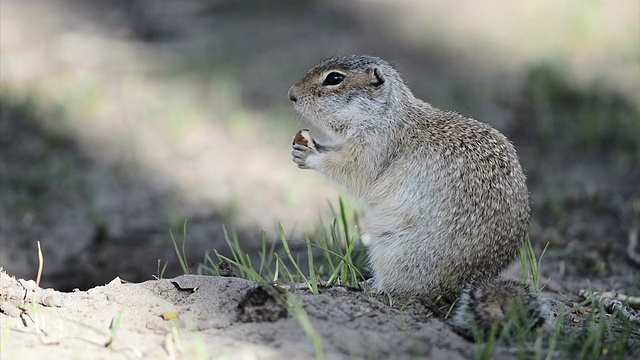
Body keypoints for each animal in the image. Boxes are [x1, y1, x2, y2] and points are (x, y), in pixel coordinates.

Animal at [288, 54, 544, 338]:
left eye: (334, 78)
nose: (291, 95)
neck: (387, 114)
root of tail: (469, 281)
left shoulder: (374, 145)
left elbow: (353, 170)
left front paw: (310, 156)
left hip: (391, 254)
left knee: (398, 289)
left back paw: (365, 285)